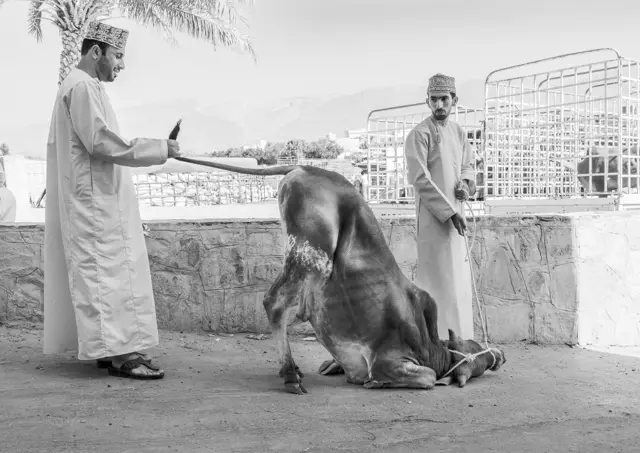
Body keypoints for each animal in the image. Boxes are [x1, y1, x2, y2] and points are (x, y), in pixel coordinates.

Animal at [175, 155, 506, 394]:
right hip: (312, 256)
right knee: (274, 304)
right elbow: (424, 378)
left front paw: (332, 366)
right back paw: (291, 375)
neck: (429, 345)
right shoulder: (388, 359)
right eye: (478, 354)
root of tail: (303, 167)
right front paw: (375, 382)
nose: (500, 356)